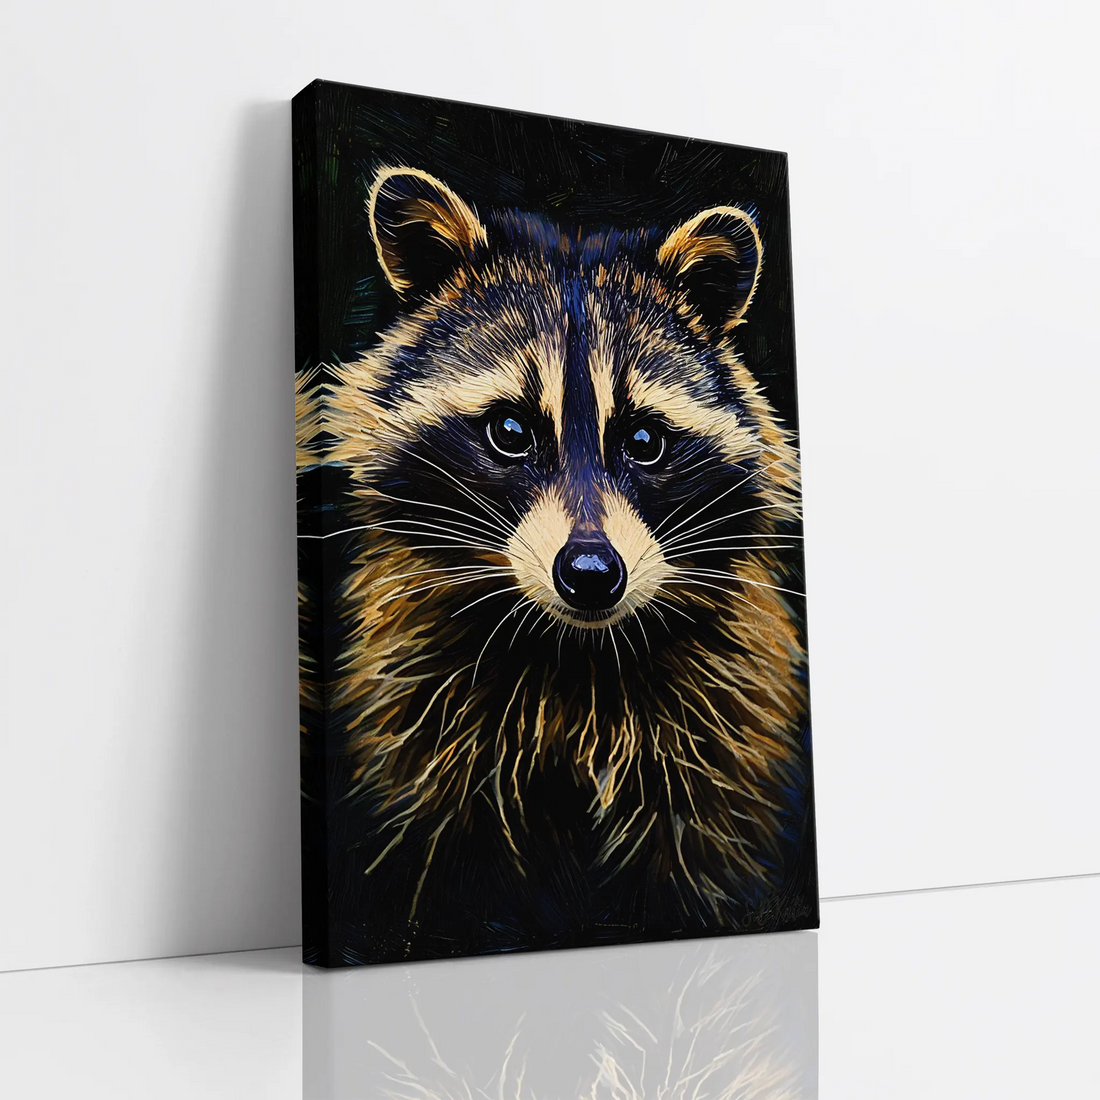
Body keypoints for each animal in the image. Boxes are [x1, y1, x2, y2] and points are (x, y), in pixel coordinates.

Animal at [297, 166, 812, 963]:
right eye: (510, 430)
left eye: (644, 440)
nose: (593, 574)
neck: (576, 654)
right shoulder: (421, 729)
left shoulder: (722, 730)